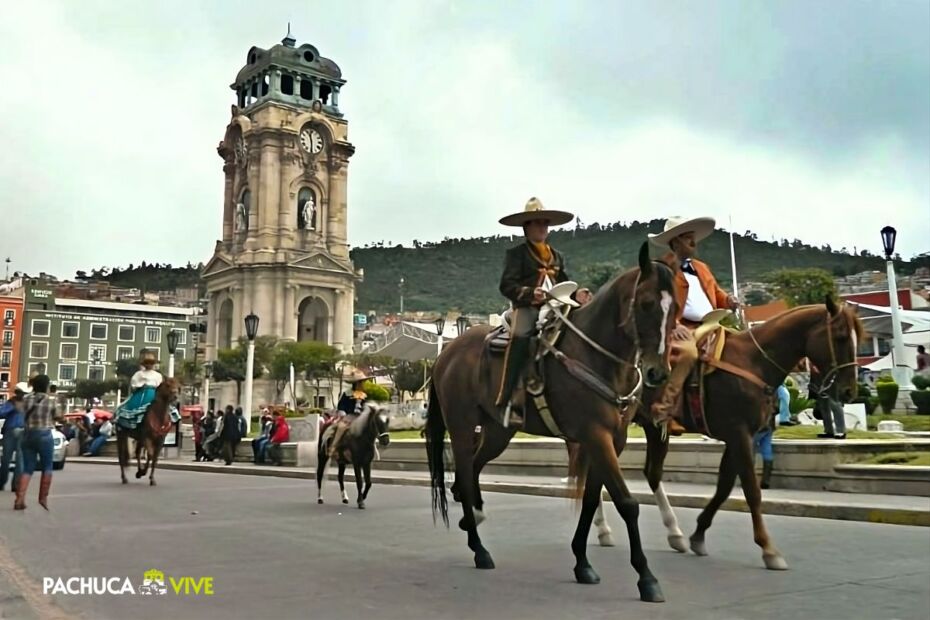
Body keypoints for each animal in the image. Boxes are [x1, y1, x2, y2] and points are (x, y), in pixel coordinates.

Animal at [426, 245, 676, 604]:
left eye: (678, 305)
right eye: (645, 303)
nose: (658, 372)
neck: (597, 354)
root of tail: (446, 354)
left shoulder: (611, 440)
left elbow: (590, 500)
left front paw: (583, 563)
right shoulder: (596, 436)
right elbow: (627, 503)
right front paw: (646, 578)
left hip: (498, 431)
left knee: (469, 473)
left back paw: (473, 518)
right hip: (461, 427)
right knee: (464, 471)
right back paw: (479, 549)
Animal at [580, 298, 864, 568]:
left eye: (857, 339)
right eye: (840, 337)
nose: (849, 391)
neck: (753, 362)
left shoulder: (740, 437)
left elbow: (725, 486)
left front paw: (698, 534)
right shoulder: (739, 434)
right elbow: (751, 490)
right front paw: (768, 549)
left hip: (648, 427)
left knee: (644, 473)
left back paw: (667, 533)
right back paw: (607, 529)